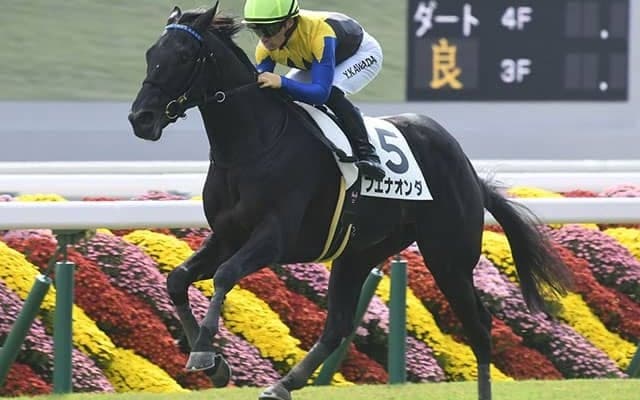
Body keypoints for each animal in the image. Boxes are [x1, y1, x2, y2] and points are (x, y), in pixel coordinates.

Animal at [128, 3, 573, 400]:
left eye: (184, 56)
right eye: (150, 54)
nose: (140, 119)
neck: (251, 146)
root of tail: (470, 171)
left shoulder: (273, 238)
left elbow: (224, 275)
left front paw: (206, 353)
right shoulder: (226, 235)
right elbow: (177, 279)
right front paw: (212, 363)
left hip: (449, 256)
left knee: (480, 327)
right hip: (359, 252)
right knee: (338, 324)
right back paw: (282, 385)